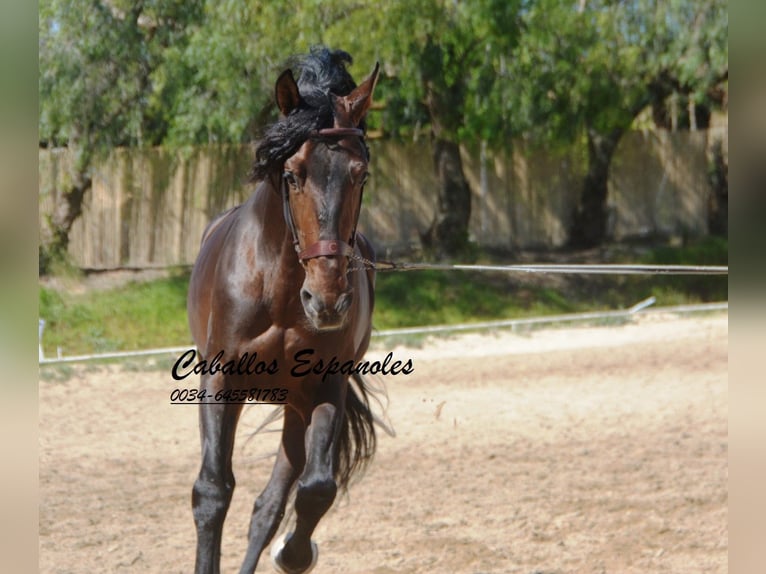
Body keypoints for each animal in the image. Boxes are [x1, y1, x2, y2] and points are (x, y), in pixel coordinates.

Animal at [188, 47, 384, 572]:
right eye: (292, 174)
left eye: (361, 175)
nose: (328, 301)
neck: (276, 289)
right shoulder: (221, 379)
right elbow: (213, 491)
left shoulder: (325, 385)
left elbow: (316, 490)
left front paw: (294, 554)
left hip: (296, 405)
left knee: (273, 501)